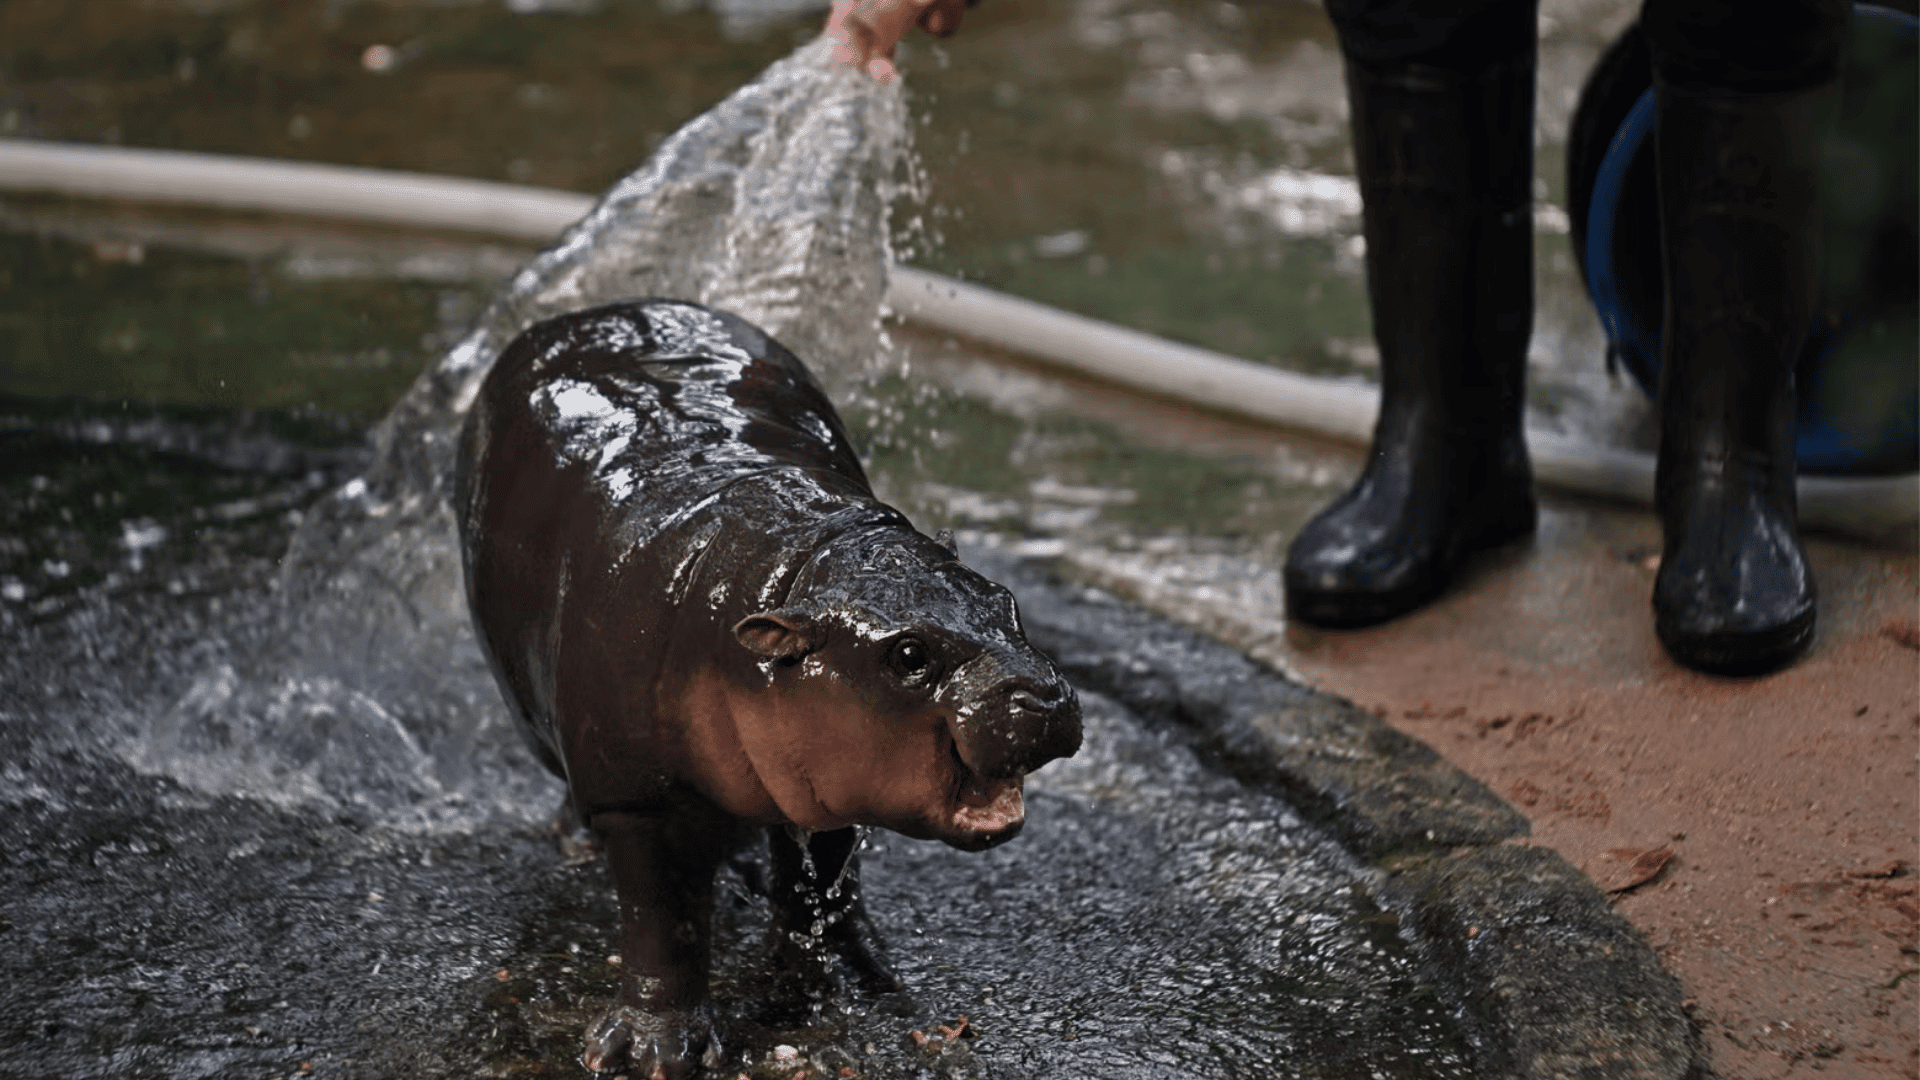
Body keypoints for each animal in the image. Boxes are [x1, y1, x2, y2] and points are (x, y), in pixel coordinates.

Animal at [454, 300, 1082, 1078]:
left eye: (1006, 602)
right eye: (908, 654)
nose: (1044, 696)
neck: (792, 568)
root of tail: (594, 311)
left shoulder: (831, 777)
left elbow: (825, 878)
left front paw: (843, 980)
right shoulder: (637, 800)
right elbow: (664, 920)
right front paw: (655, 1052)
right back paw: (577, 844)